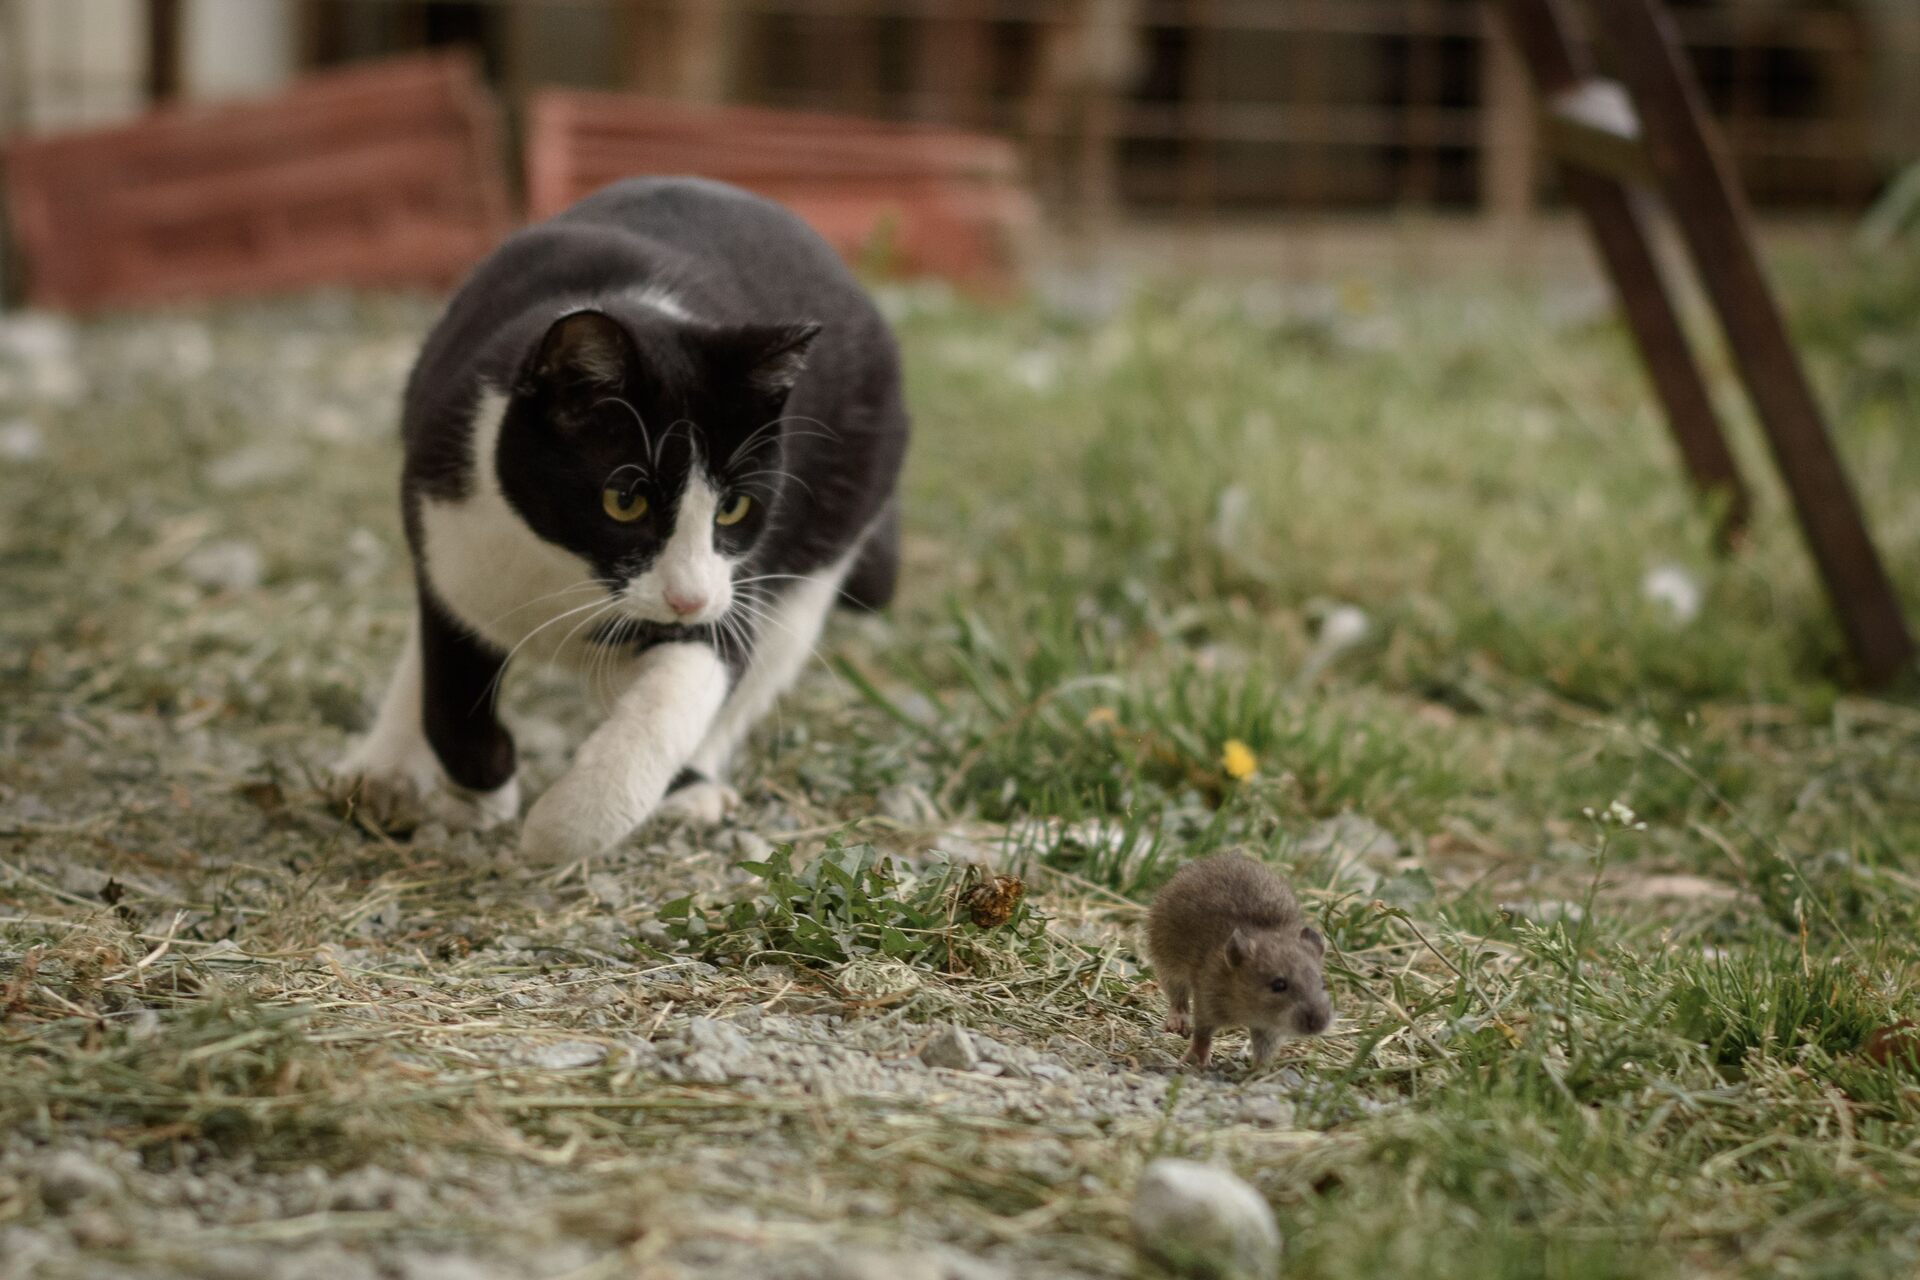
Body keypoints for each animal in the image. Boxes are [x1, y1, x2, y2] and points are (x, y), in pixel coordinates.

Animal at [330, 177, 906, 859]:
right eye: (624, 501)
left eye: (734, 506)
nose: (686, 599)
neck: (564, 569)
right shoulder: (444, 531)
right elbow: (449, 680)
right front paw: (484, 791)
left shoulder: (729, 590)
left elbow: (677, 698)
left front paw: (560, 826)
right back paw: (384, 765)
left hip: (828, 537)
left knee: (763, 664)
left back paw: (690, 788)